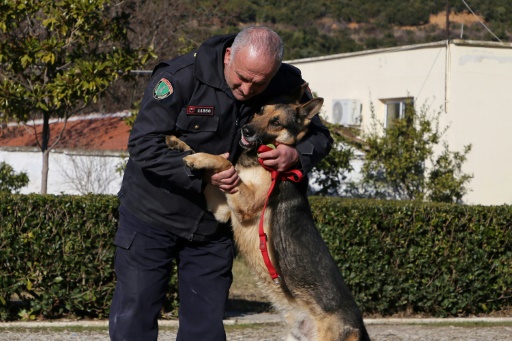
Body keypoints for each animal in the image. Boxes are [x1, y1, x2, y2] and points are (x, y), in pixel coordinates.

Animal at [166, 83, 370, 340]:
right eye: (261, 110)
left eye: (276, 122)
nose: (246, 129)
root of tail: (359, 329)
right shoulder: (221, 207)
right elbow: (214, 166)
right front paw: (181, 146)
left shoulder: (245, 204)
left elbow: (225, 163)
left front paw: (199, 158)